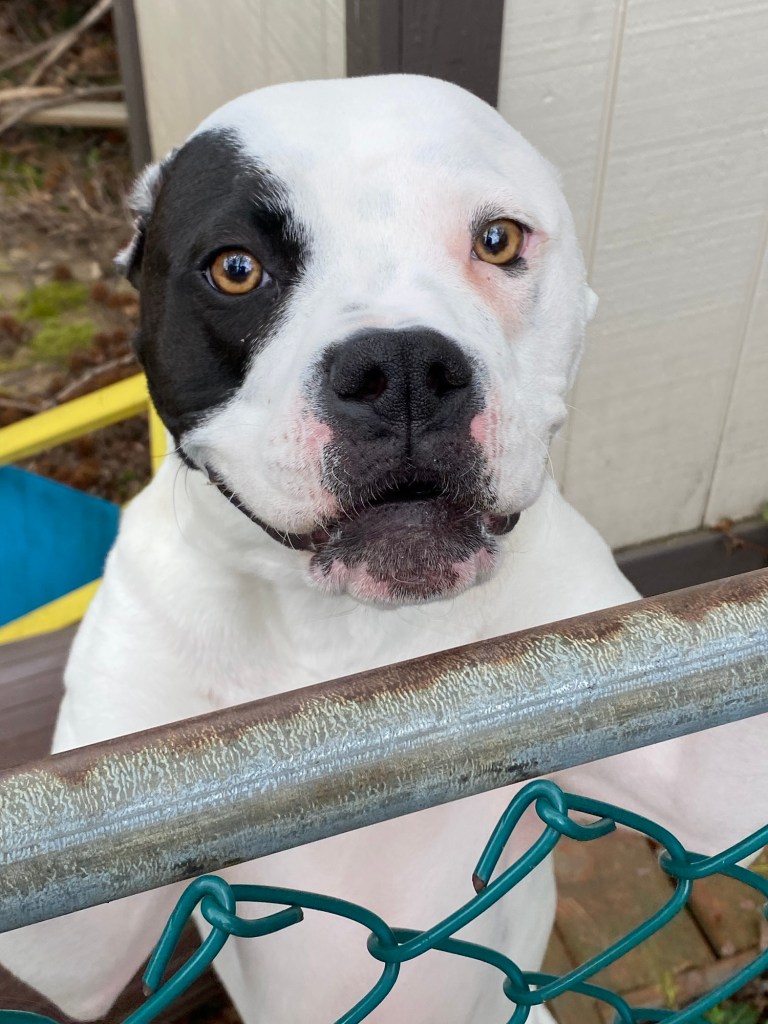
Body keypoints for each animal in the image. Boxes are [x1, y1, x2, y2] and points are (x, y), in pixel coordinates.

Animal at [1, 75, 765, 1024]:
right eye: (235, 267)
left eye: (498, 239)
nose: (400, 369)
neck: (346, 634)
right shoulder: (76, 908)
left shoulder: (681, 737)